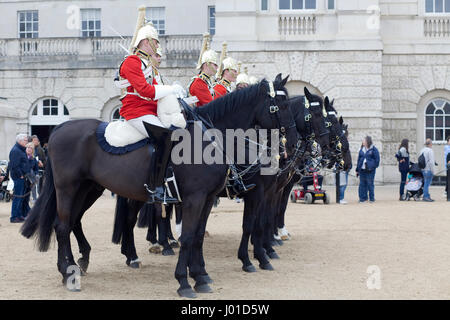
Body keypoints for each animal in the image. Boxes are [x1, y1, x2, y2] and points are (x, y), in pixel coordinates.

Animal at [23, 74, 298, 298]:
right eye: (283, 105)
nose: (292, 142)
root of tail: (59, 128)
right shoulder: (199, 198)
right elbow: (190, 236)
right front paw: (185, 282)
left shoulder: (209, 198)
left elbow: (198, 236)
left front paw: (201, 276)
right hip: (68, 188)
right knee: (62, 226)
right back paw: (69, 272)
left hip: (89, 189)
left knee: (73, 222)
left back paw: (82, 263)